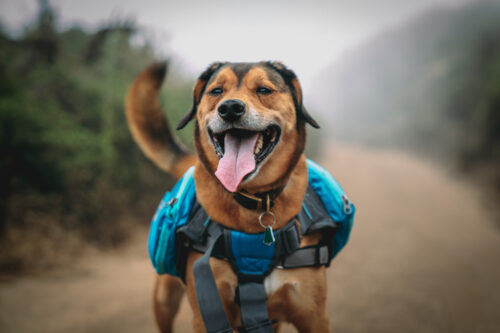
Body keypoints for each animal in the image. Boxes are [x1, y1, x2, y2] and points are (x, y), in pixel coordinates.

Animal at [124, 61, 332, 332]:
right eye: (216, 91)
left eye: (264, 90)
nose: (230, 108)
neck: (254, 203)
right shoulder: (208, 312)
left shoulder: (314, 316)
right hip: (164, 300)